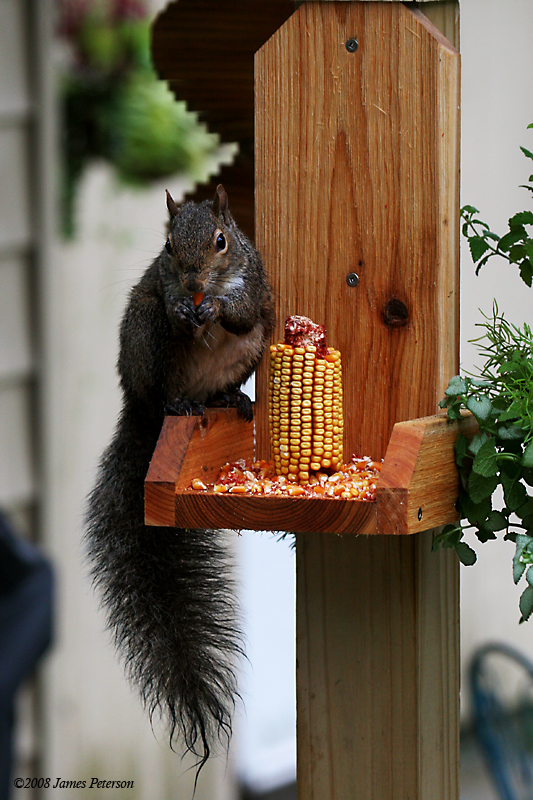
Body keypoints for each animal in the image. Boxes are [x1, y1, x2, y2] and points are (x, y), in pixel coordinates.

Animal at [86, 186, 274, 776]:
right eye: (167, 246)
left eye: (221, 241)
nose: (193, 281)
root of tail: (140, 412)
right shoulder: (162, 290)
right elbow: (173, 309)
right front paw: (186, 310)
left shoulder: (256, 286)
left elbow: (242, 311)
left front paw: (216, 309)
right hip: (148, 342)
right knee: (166, 385)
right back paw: (180, 403)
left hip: (251, 352)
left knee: (228, 375)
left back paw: (231, 399)